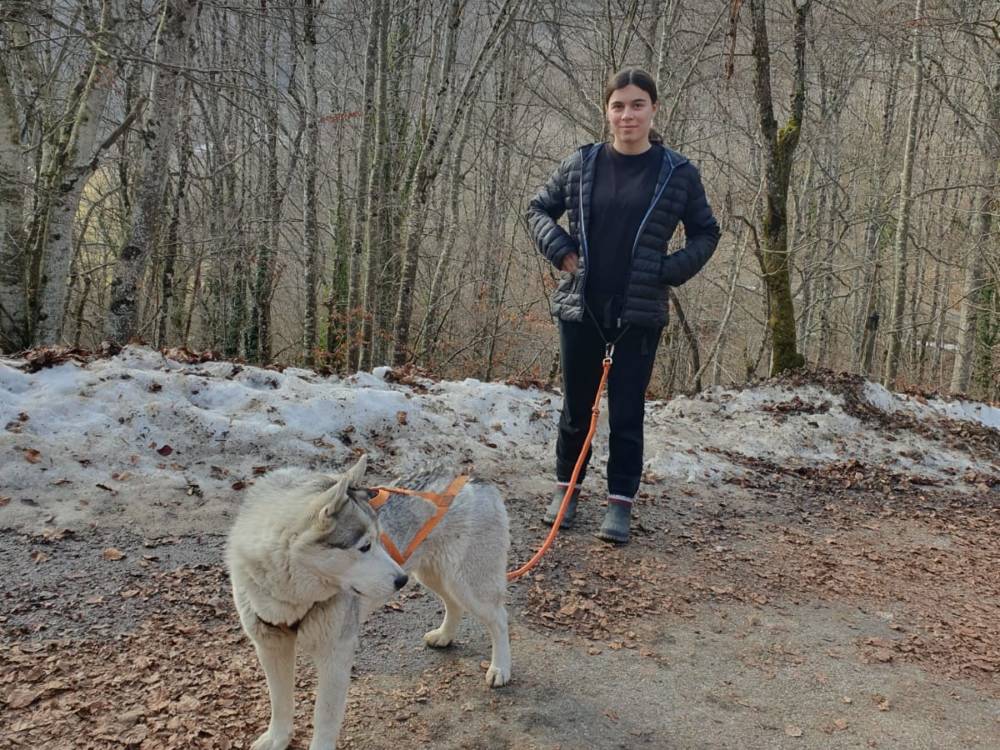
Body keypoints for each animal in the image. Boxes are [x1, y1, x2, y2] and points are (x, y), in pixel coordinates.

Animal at [226, 455, 512, 750]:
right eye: (364, 547)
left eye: (378, 538)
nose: (401, 581)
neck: (293, 596)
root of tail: (473, 477)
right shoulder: (270, 648)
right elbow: (280, 703)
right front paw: (277, 738)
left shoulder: (335, 656)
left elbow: (324, 718)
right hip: (434, 577)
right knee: (453, 605)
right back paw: (444, 635)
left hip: (468, 585)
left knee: (500, 620)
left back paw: (501, 667)